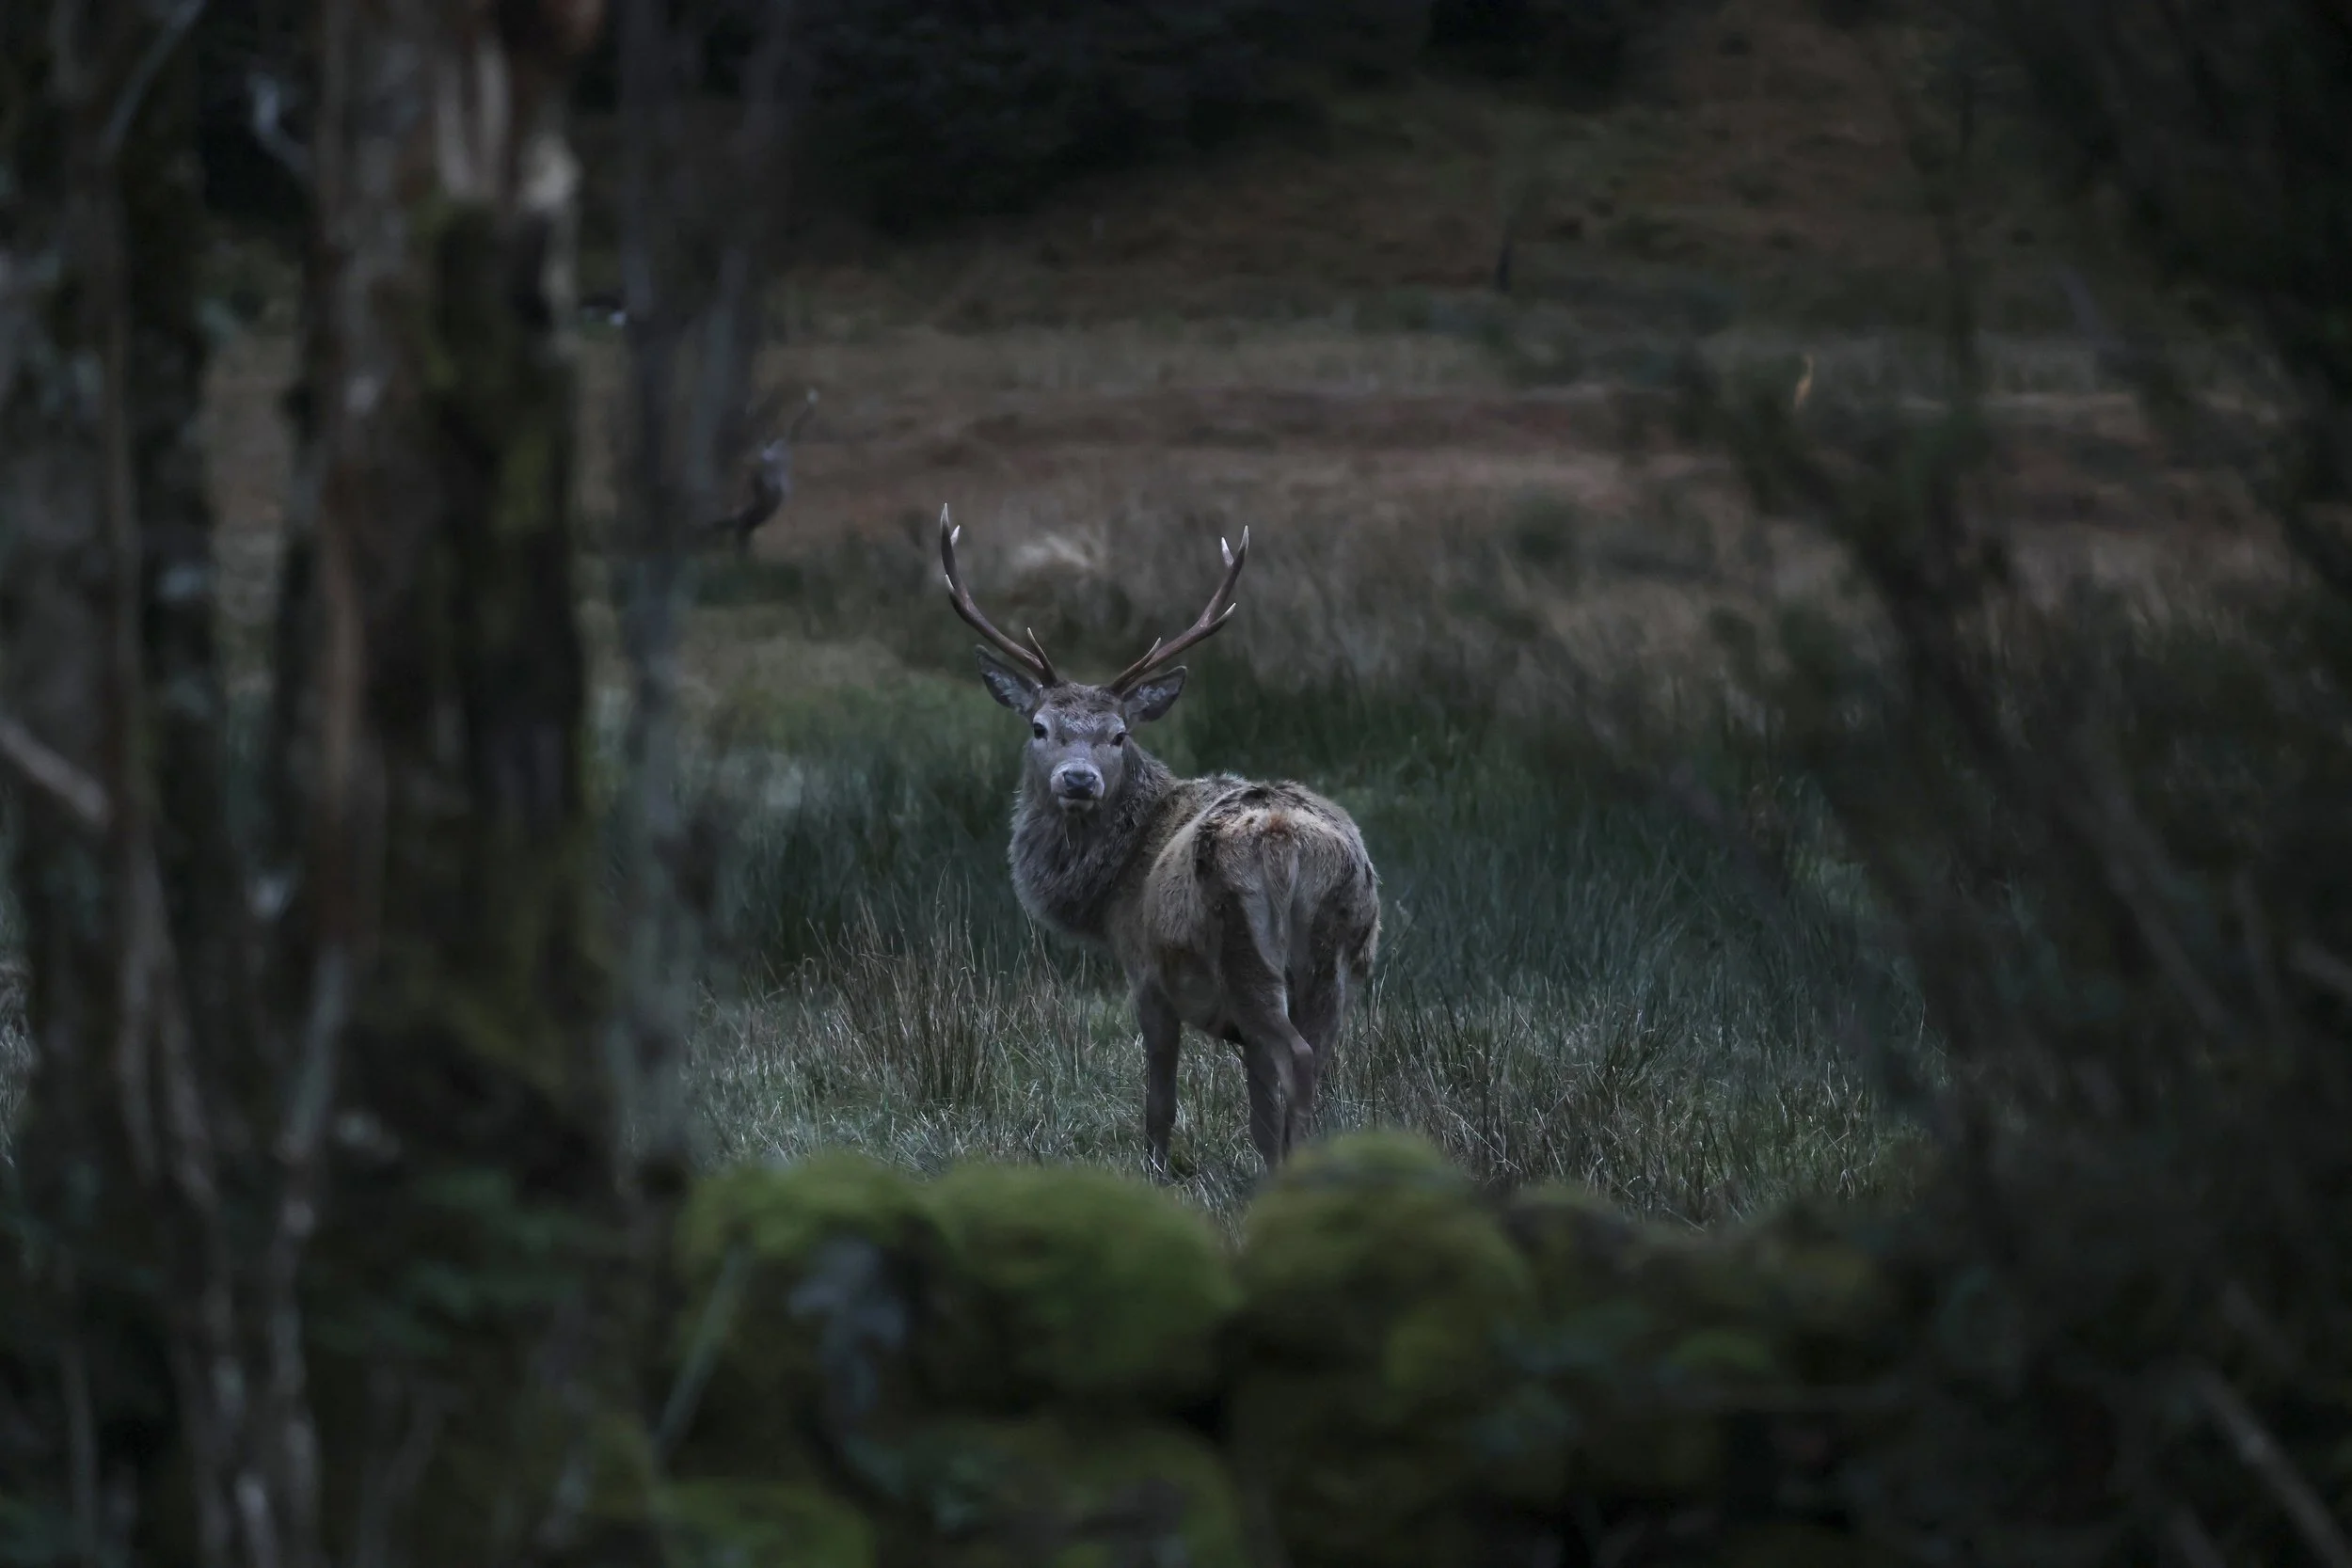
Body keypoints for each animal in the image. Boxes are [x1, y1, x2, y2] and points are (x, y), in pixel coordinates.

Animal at [940, 507, 1381, 1176]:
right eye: (1040, 726)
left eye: (1120, 734)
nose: (1078, 779)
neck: (1111, 891)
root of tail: (1294, 850)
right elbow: (1260, 1116)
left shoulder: (1146, 972)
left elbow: (1159, 1102)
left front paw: (1153, 1174)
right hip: (1337, 960)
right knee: (1319, 1060)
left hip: (1243, 949)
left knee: (1299, 1059)